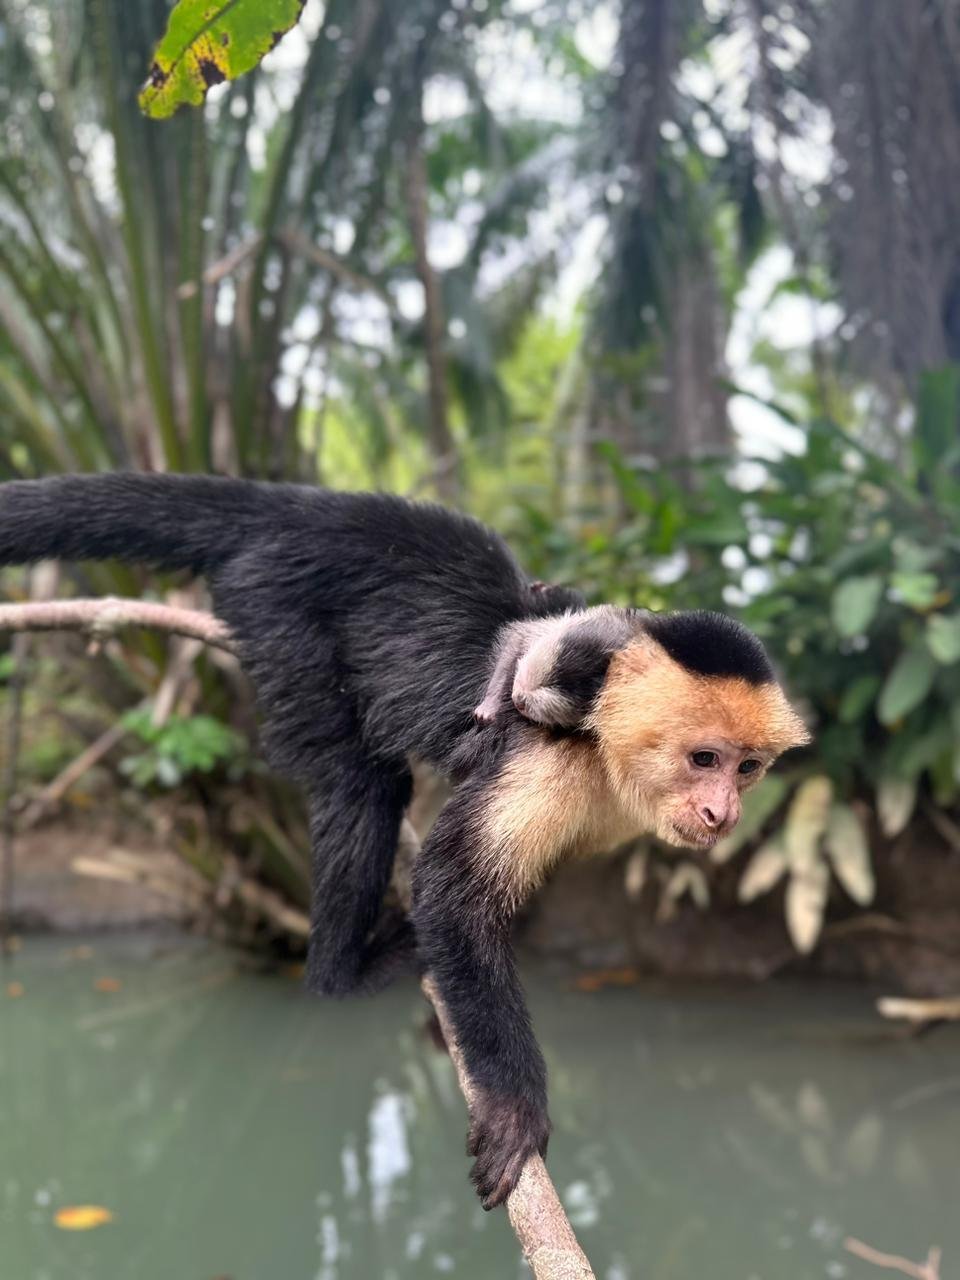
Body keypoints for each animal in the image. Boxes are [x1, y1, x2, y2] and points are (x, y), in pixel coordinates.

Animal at [0, 473, 809, 1208]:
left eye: (747, 768)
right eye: (704, 759)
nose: (723, 812)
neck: (604, 745)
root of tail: (312, 508)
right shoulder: (547, 752)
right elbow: (452, 891)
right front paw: (514, 1107)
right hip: (278, 606)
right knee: (363, 782)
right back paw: (343, 972)